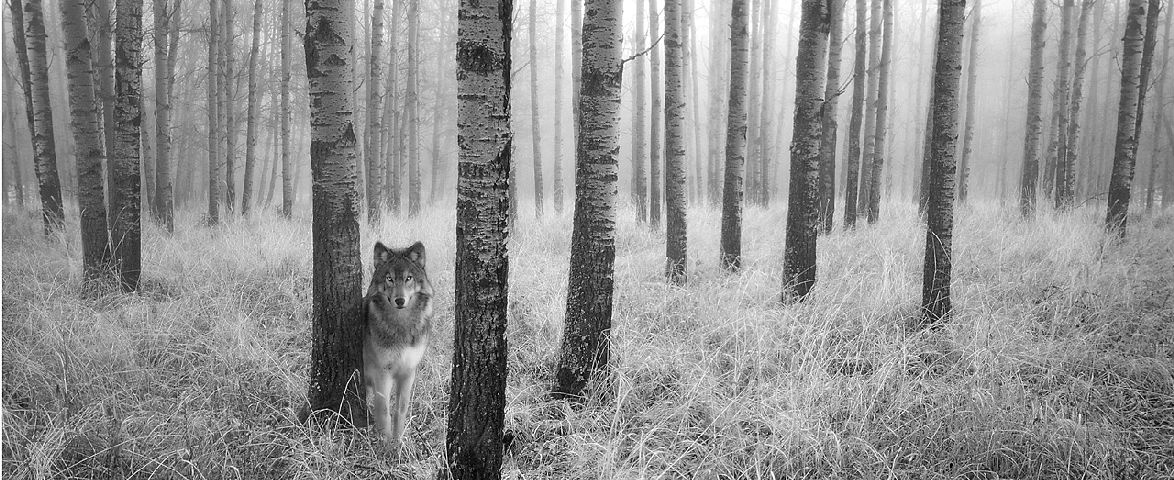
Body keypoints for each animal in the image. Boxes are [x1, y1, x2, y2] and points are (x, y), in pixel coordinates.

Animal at [363, 241, 432, 446]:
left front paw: (398, 443)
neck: (401, 326)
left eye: (408, 278)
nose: (399, 300)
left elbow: (400, 410)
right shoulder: (382, 373)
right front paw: (385, 446)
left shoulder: (408, 372)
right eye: (389, 279)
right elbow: (384, 411)